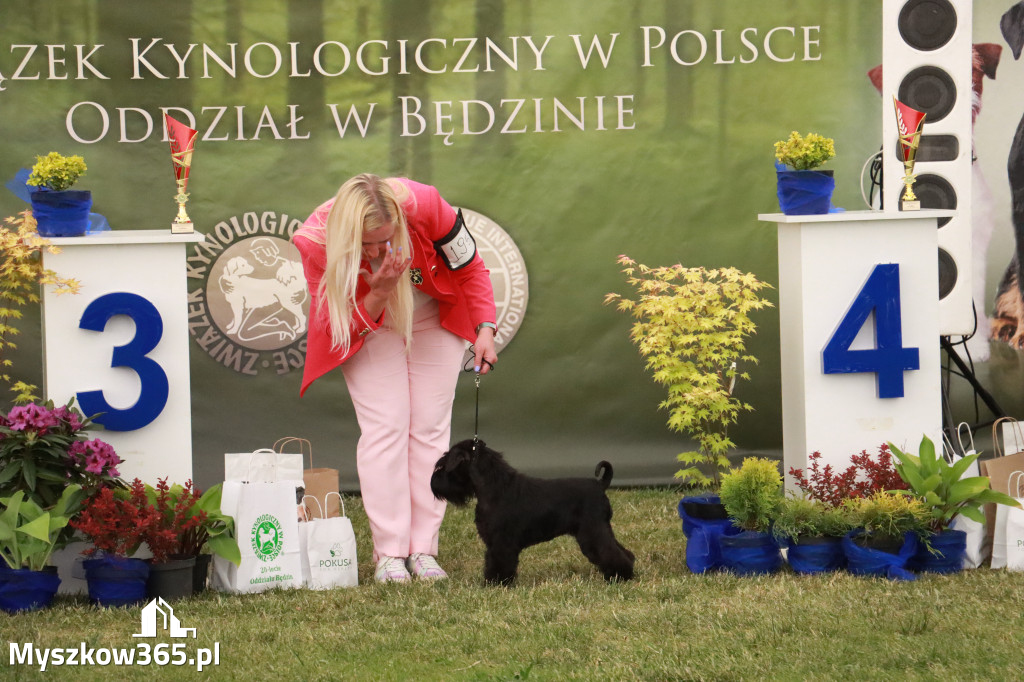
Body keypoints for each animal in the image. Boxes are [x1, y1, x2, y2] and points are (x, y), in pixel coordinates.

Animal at [430, 440, 630, 585]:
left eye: (443, 465)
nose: (433, 481)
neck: (495, 487)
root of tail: (600, 485)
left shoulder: (501, 543)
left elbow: (499, 563)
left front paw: (496, 583)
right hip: (600, 530)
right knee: (624, 551)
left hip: (593, 532)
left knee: (611, 552)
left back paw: (620, 576)